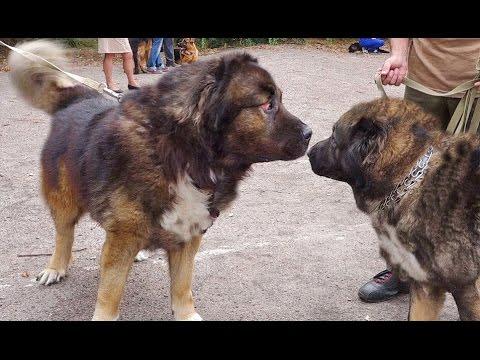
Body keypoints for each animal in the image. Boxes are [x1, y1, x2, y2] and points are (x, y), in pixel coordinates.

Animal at [9, 39, 314, 320]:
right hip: (65, 199)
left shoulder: (188, 234)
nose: (310, 133)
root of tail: (77, 98)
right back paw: (55, 267)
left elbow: (182, 286)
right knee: (64, 234)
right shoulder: (122, 236)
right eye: (267, 105)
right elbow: (110, 293)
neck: (183, 153)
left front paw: (187, 315)